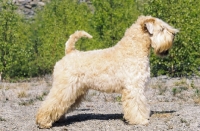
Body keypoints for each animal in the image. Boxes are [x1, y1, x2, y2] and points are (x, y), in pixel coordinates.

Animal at [35, 15, 178, 128]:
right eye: (162, 28)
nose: (174, 34)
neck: (133, 49)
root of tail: (70, 52)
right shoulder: (134, 88)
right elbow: (136, 105)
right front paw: (140, 120)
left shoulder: (138, 88)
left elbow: (141, 104)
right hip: (64, 87)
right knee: (50, 103)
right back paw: (43, 122)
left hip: (75, 90)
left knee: (60, 105)